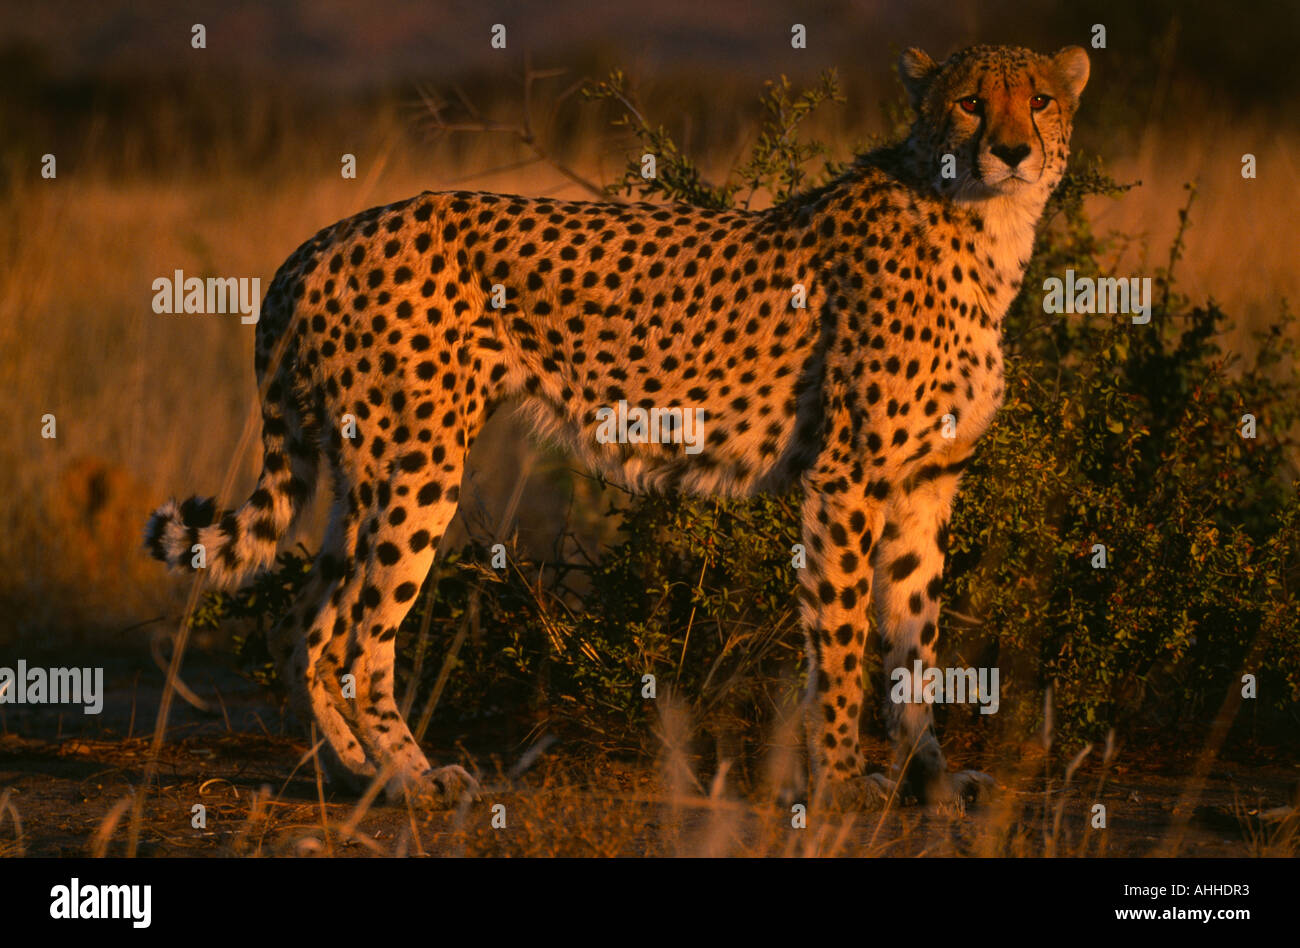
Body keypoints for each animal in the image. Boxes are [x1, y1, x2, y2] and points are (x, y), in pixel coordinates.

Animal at [145, 43, 1089, 810]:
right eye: (969, 102)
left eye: (1040, 98)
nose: (1011, 150)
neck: (979, 221)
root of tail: (329, 236)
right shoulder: (845, 482)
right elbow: (845, 641)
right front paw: (841, 781)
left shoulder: (926, 485)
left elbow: (915, 649)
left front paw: (933, 780)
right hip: (417, 464)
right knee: (355, 635)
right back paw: (414, 781)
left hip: (363, 468)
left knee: (303, 625)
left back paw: (357, 777)